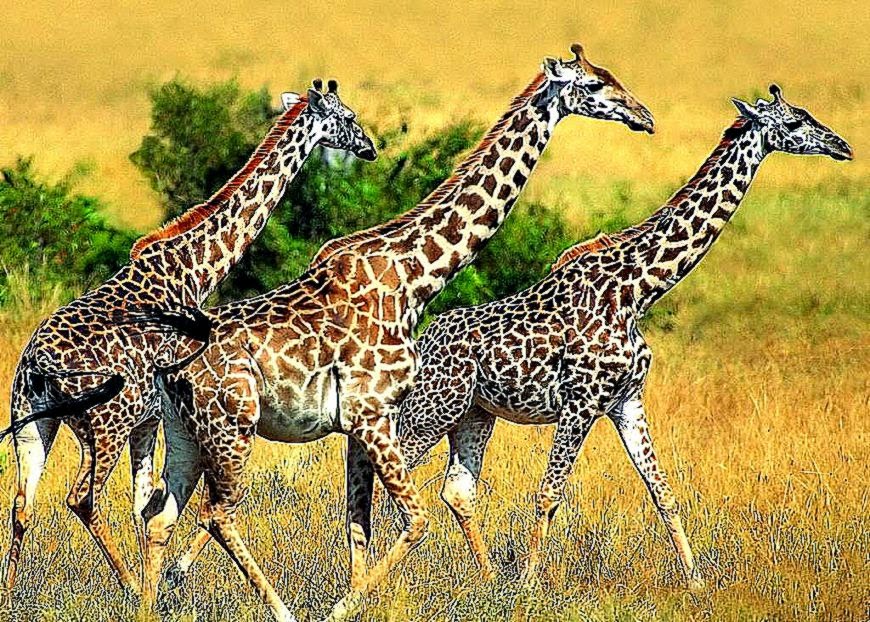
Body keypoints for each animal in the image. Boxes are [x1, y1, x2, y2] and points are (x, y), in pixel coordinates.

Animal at [3, 79, 376, 598]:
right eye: (349, 117)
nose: (371, 148)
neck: (196, 267)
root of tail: (40, 367)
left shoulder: (149, 421)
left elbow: (145, 504)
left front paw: (161, 576)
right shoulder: (165, 415)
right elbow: (176, 504)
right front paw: (165, 578)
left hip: (33, 423)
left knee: (22, 503)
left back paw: (10, 592)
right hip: (104, 426)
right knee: (81, 498)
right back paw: (129, 585)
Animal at [138, 44, 655, 622]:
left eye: (611, 75)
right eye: (593, 86)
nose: (644, 116)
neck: (414, 278)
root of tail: (168, 366)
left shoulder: (359, 424)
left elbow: (358, 524)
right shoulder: (371, 413)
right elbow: (416, 520)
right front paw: (342, 610)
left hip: (185, 432)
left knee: (161, 515)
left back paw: (146, 606)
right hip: (233, 426)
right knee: (215, 513)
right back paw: (278, 609)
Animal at [392, 84, 852, 589]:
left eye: (807, 113)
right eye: (793, 123)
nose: (842, 146)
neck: (637, 290)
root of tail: (422, 340)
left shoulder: (626, 400)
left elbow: (663, 491)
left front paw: (695, 582)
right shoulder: (579, 403)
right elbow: (549, 492)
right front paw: (529, 585)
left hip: (473, 412)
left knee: (457, 490)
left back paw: (487, 577)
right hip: (433, 409)